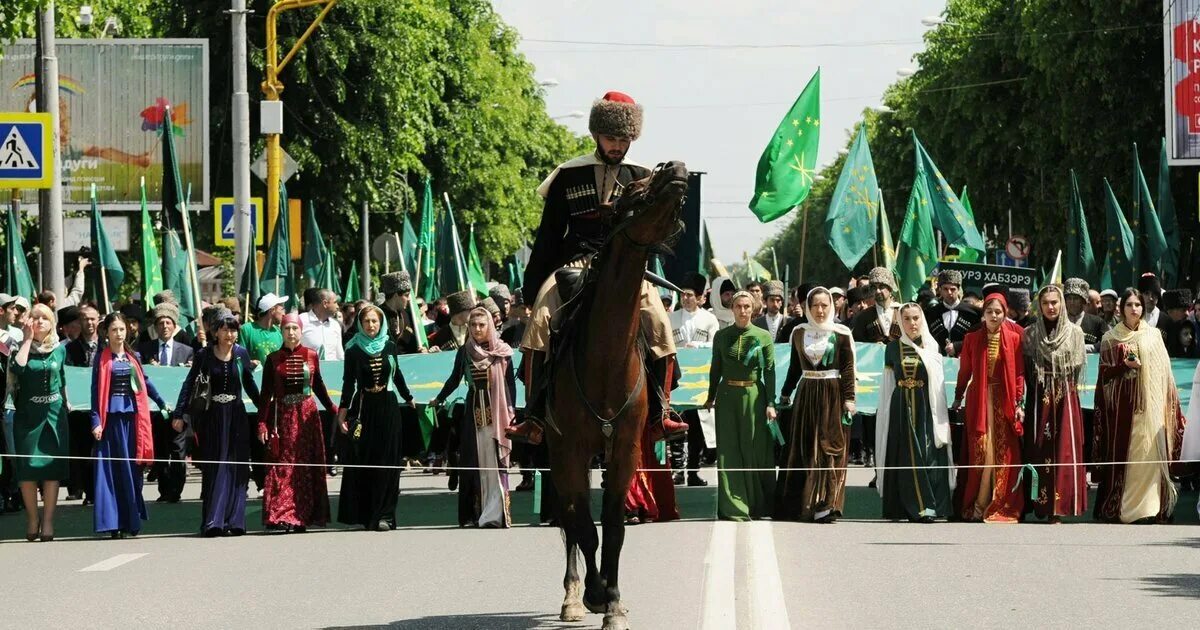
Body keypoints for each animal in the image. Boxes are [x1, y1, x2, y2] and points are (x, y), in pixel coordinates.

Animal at [544, 162, 686, 628]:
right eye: (633, 191)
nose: (675, 168)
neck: (605, 361)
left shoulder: (624, 450)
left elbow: (614, 526)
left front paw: (613, 602)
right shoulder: (568, 451)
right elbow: (584, 528)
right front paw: (592, 593)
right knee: (570, 521)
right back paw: (572, 596)